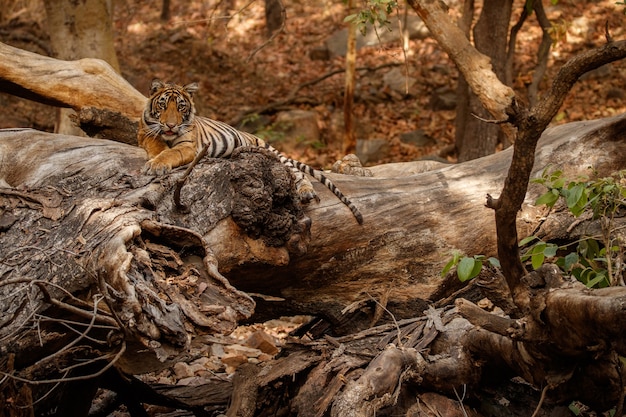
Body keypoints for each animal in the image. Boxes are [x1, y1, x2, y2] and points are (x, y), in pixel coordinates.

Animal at [136, 80, 360, 226]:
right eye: (163, 105)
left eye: (181, 107)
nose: (171, 125)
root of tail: (254, 136)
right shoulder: (145, 133)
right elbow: (158, 145)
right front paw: (155, 161)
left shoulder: (188, 146)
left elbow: (171, 153)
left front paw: (156, 165)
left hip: (272, 154)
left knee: (297, 173)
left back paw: (306, 192)